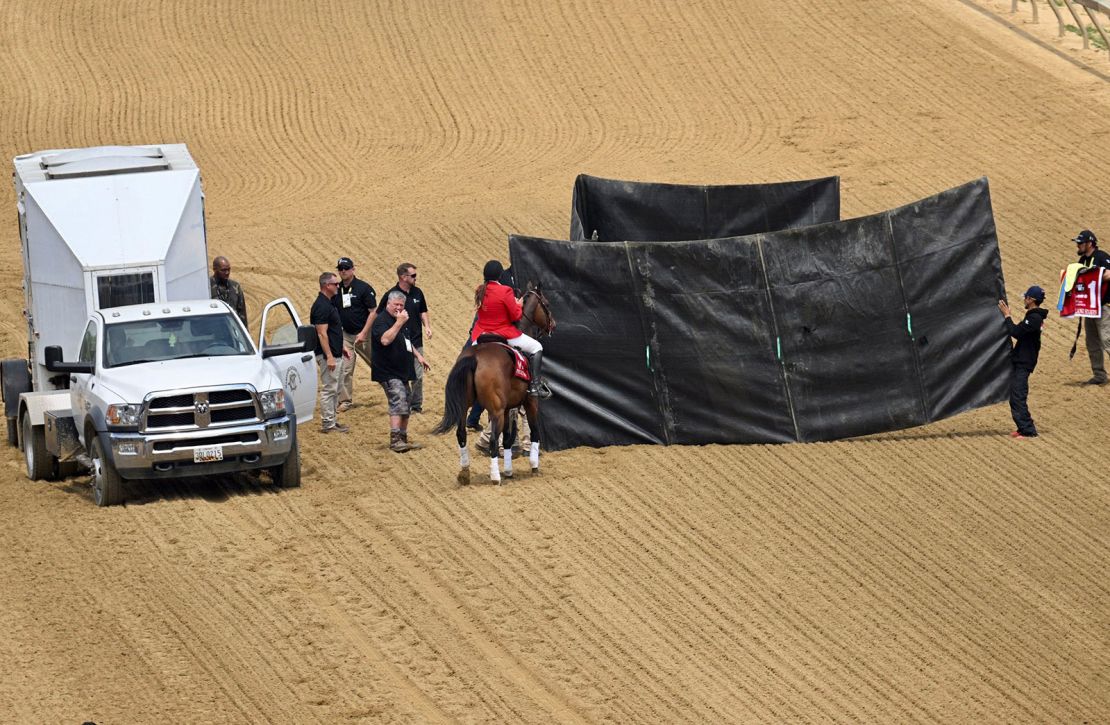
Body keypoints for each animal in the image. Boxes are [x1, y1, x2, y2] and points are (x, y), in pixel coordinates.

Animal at [432, 283, 555, 479]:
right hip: (496, 410)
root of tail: (474, 358)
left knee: (461, 434)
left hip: (465, 406)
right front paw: (534, 466)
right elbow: (533, 432)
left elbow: (507, 439)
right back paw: (495, 477)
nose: (553, 325)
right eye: (547, 304)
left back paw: (465, 473)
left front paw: (509, 470)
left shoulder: (507, 408)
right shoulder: (530, 402)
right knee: (492, 440)